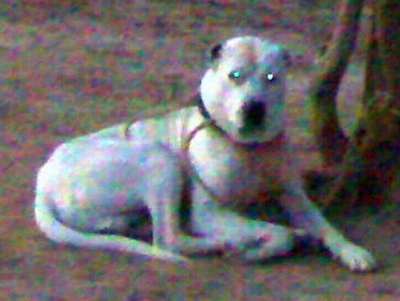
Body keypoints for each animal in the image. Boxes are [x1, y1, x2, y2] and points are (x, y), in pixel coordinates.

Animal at [34, 36, 376, 270]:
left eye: (271, 78)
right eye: (235, 75)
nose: (254, 108)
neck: (248, 147)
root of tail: (43, 179)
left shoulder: (294, 197)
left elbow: (326, 226)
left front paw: (352, 251)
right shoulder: (211, 213)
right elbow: (279, 232)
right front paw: (262, 245)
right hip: (160, 159)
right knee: (169, 239)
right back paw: (229, 242)